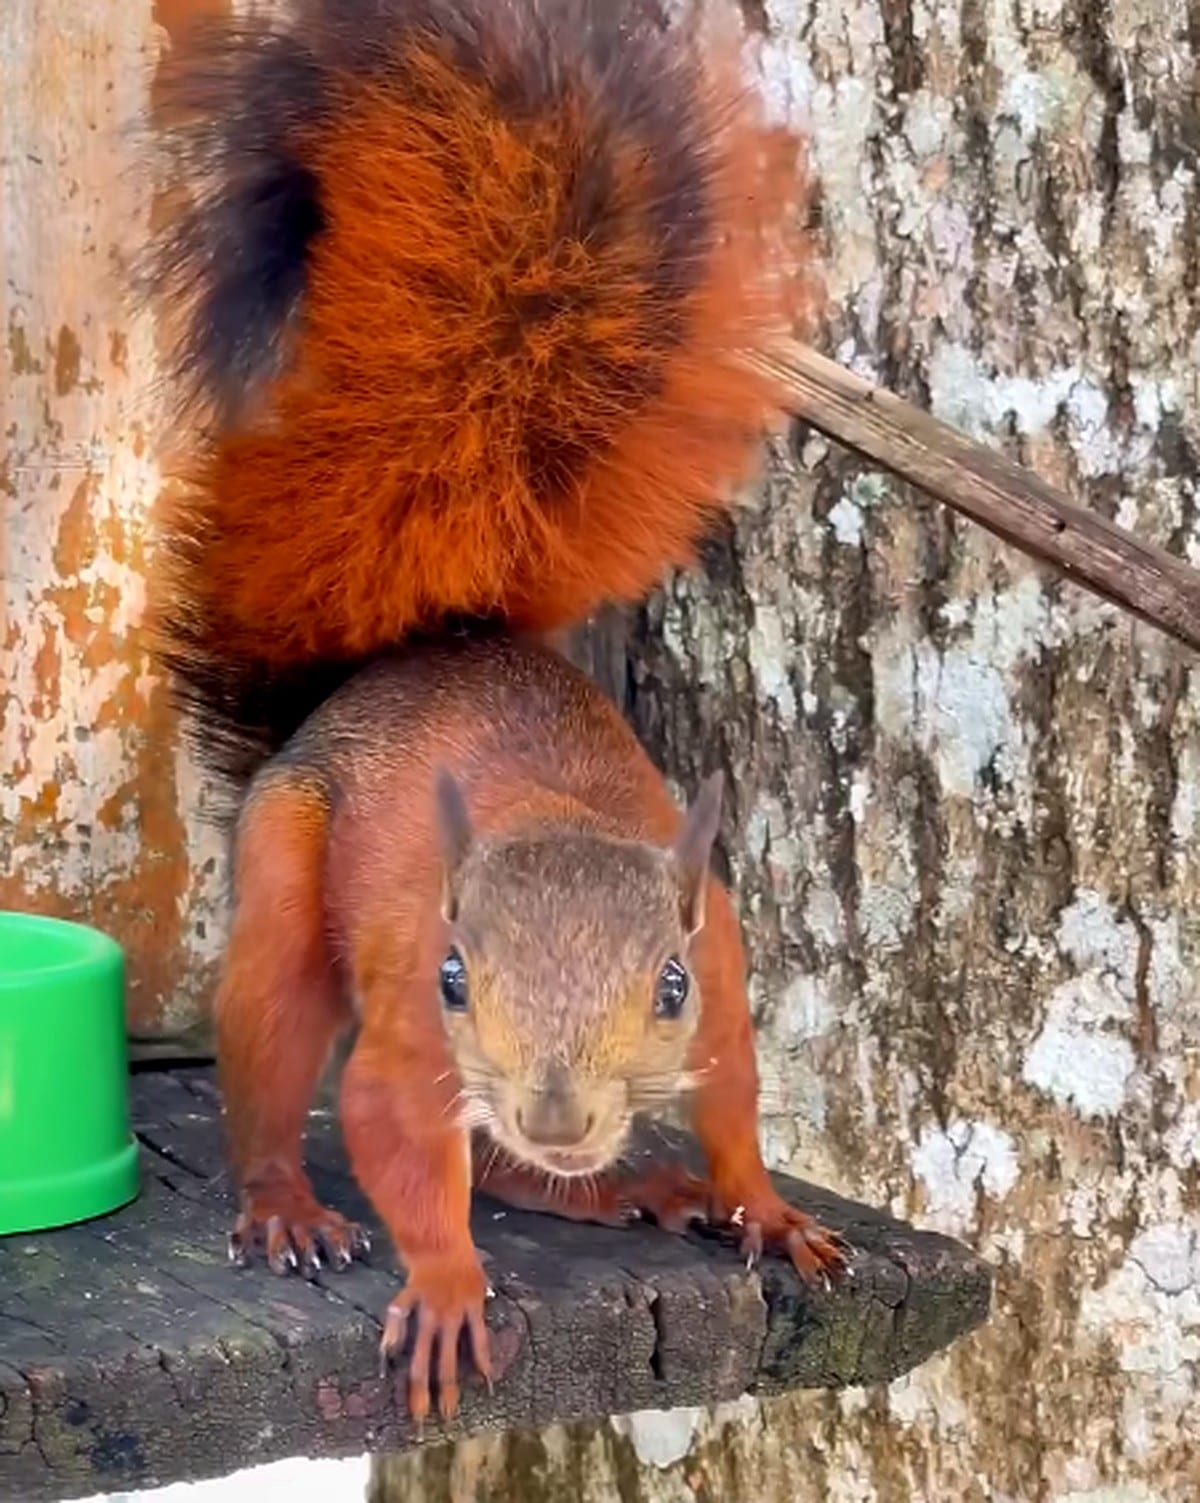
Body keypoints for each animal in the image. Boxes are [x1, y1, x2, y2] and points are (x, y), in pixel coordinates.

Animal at [148, 0, 847, 1423]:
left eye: (669, 982)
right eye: (458, 974)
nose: (564, 1110)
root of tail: (398, 665)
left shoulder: (726, 982)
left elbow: (740, 1104)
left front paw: (764, 1208)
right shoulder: (412, 1036)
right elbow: (393, 1137)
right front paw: (450, 1284)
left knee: (523, 1173)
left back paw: (625, 1184)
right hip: (286, 887)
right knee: (275, 1058)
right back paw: (288, 1205)